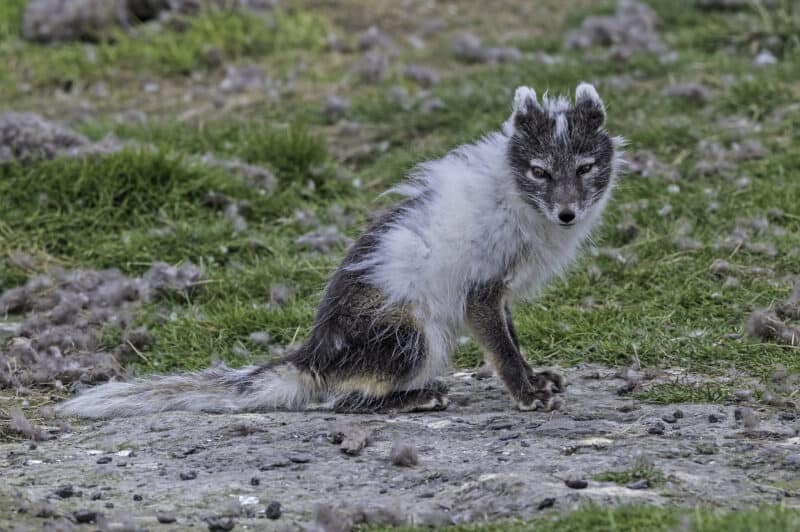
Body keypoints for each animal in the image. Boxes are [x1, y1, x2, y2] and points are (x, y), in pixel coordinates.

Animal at [61, 81, 624, 418]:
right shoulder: (480, 290)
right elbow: (502, 349)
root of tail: (315, 355)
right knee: (343, 401)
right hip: (413, 335)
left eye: (585, 168)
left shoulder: (500, 291)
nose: (568, 214)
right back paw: (422, 396)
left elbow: (511, 338)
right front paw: (526, 393)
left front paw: (537, 378)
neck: (515, 197)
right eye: (540, 172)